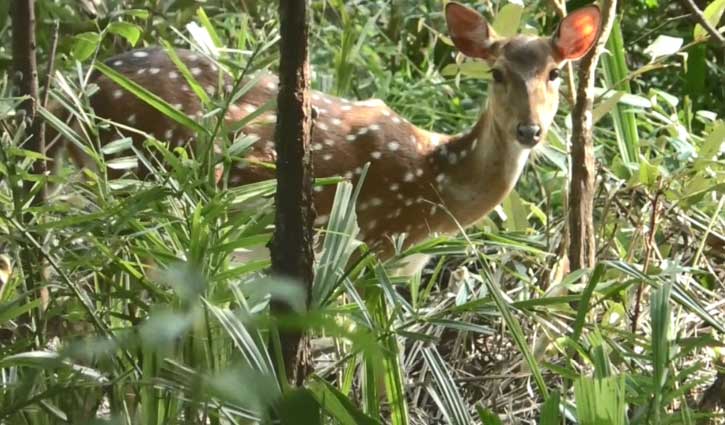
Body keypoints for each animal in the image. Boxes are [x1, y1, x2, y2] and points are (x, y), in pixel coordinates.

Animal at [46, 2, 600, 272]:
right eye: (497, 73)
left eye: (554, 73)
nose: (530, 129)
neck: (436, 186)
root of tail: (72, 92)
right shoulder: (368, 235)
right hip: (138, 176)